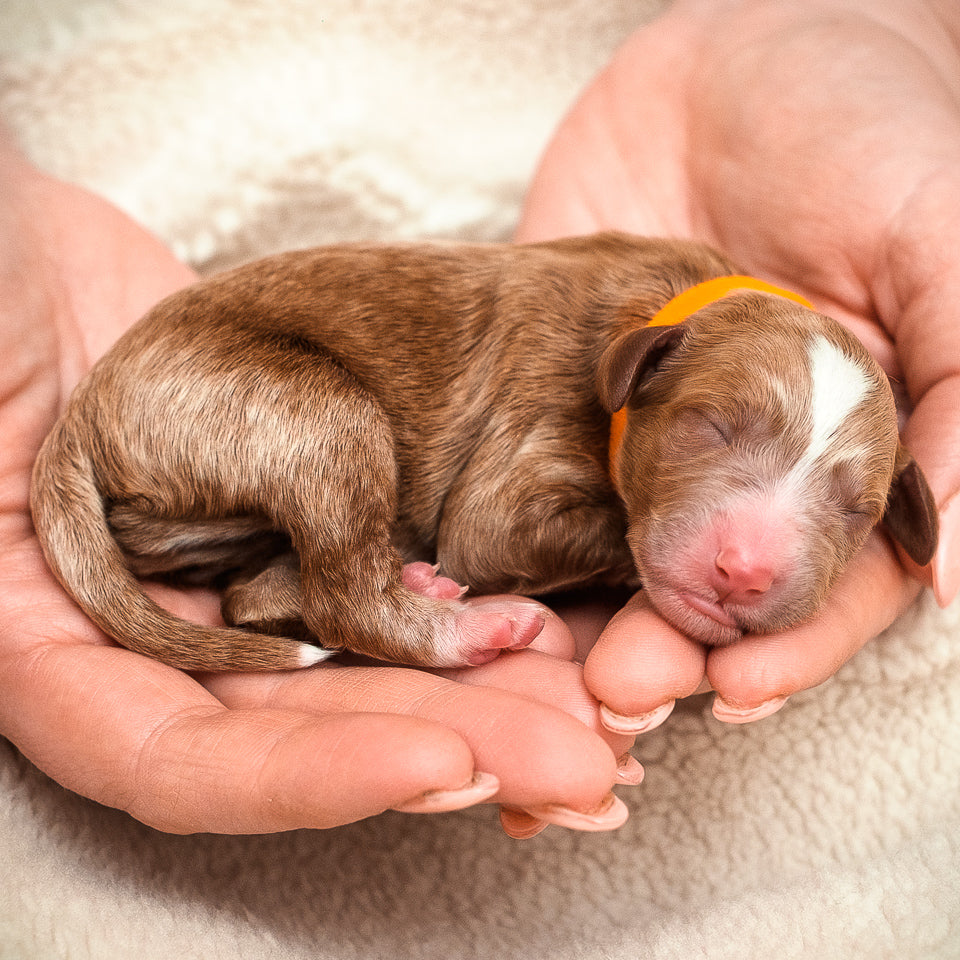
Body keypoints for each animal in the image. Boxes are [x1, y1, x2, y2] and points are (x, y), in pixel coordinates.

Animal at [30, 233, 936, 672]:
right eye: (709, 425)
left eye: (859, 511)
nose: (746, 571)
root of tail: (80, 409)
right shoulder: (510, 489)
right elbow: (571, 533)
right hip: (306, 411)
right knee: (344, 596)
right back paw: (466, 628)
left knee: (255, 592)